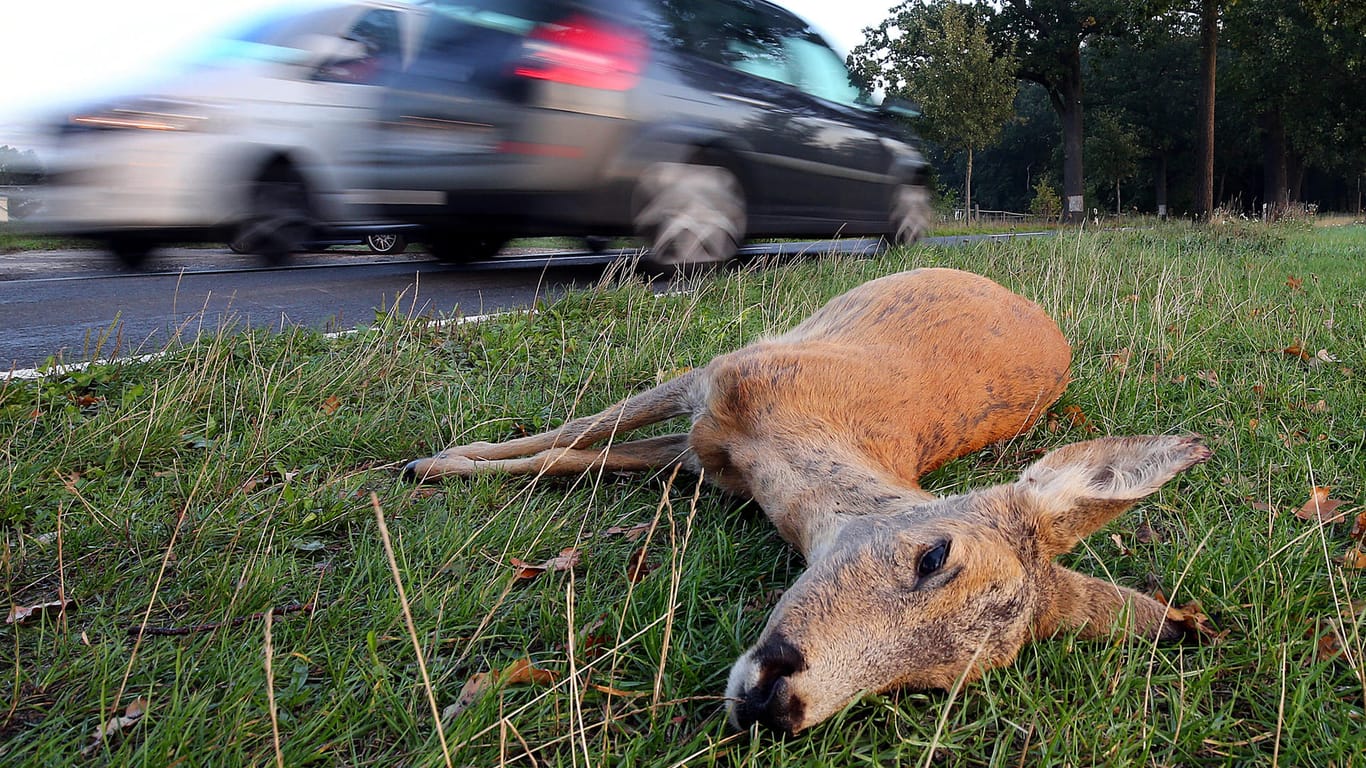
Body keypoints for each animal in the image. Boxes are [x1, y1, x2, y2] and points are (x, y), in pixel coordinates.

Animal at [398, 267, 1213, 727]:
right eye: (933, 556)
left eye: (932, 682)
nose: (778, 706)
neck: (780, 448)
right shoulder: (717, 376)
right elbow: (573, 435)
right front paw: (434, 462)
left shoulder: (704, 455)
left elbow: (579, 457)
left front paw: (442, 464)